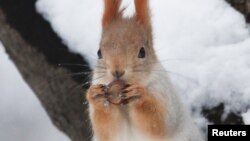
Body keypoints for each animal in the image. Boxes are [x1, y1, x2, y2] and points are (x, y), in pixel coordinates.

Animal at [87, 0, 204, 141]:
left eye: (142, 52)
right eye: (99, 53)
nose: (117, 71)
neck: (124, 104)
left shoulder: (163, 92)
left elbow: (158, 123)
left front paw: (138, 95)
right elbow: (107, 129)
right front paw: (95, 96)